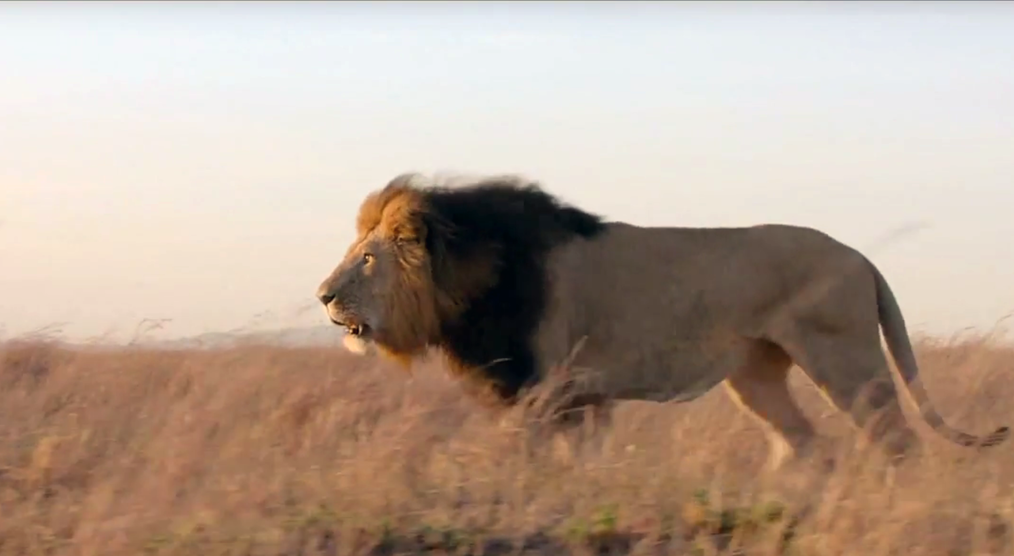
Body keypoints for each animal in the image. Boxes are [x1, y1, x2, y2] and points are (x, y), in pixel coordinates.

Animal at [315, 172, 1009, 471]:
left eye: (367, 258)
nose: (322, 296)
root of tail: (862, 256)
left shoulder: (541, 391)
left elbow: (527, 462)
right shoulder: (577, 399)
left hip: (844, 359)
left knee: (896, 439)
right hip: (756, 375)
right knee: (803, 442)